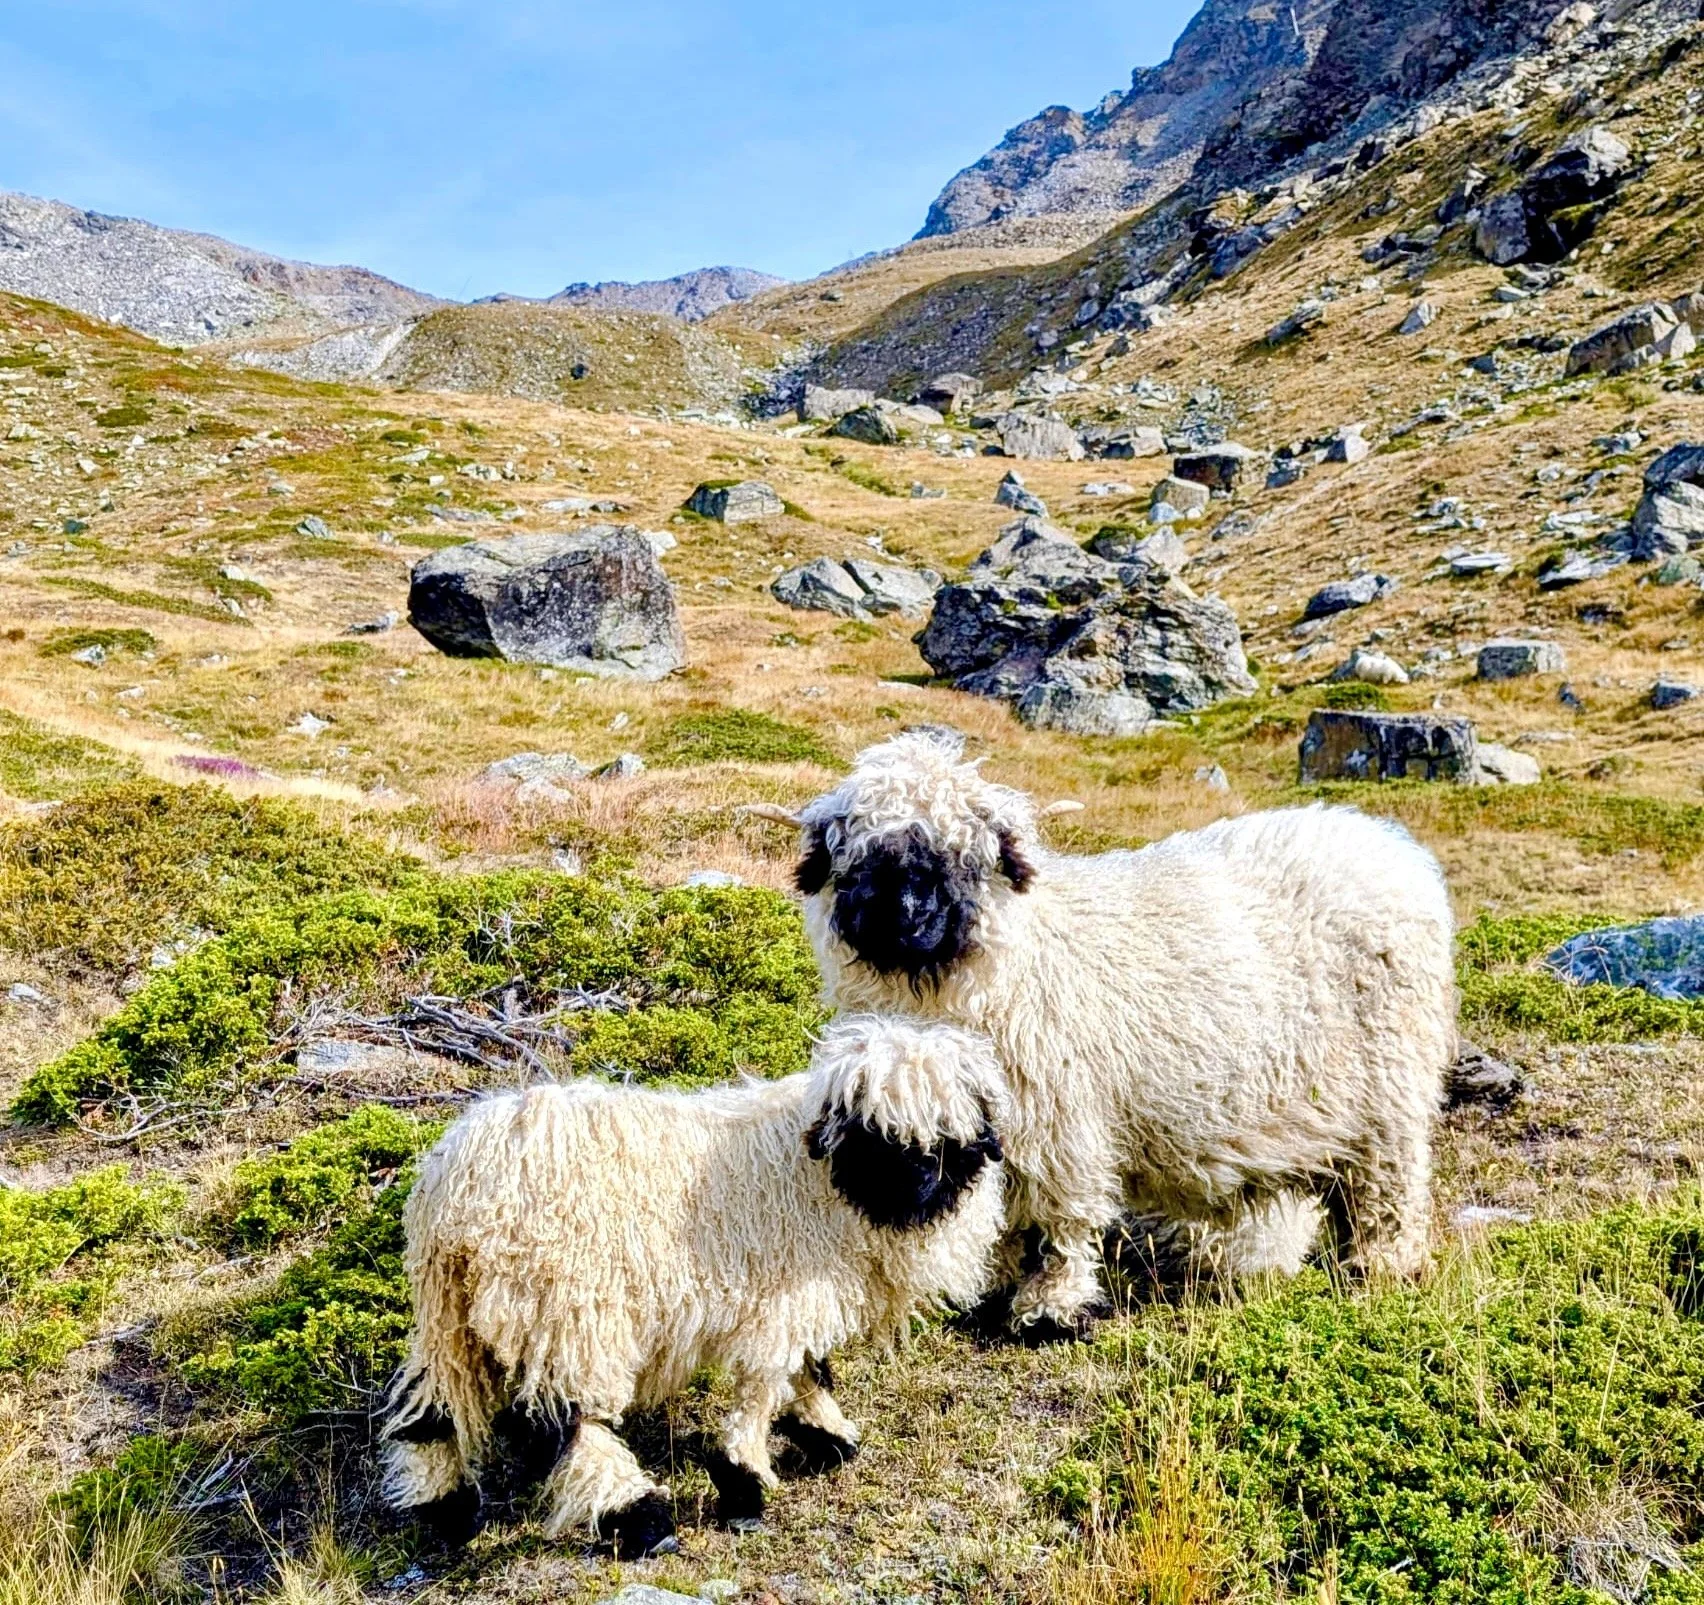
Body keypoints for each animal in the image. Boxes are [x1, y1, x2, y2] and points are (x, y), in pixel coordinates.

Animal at [380, 1014, 1008, 1556]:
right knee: (569, 1422)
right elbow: (768, 1378)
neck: (818, 1178)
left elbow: (807, 1366)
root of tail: (462, 1184)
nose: (921, 1189)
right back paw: (640, 1518)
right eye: (874, 1136)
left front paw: (823, 1434)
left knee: (433, 1406)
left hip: (450, 1308)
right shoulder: (784, 1295)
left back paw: (446, 1509)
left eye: (950, 1142)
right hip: (567, 1307)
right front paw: (743, 1481)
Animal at [765, 730, 1456, 1336]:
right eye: (859, 855)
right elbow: (1006, 1220)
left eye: (965, 857)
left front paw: (1050, 1308)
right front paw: (994, 1287)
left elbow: (1060, 1220)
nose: (906, 919)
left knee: (1390, 1187)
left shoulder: (1059, 1121)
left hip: (1389, 1088)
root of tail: (1385, 843)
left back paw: (1380, 1268)